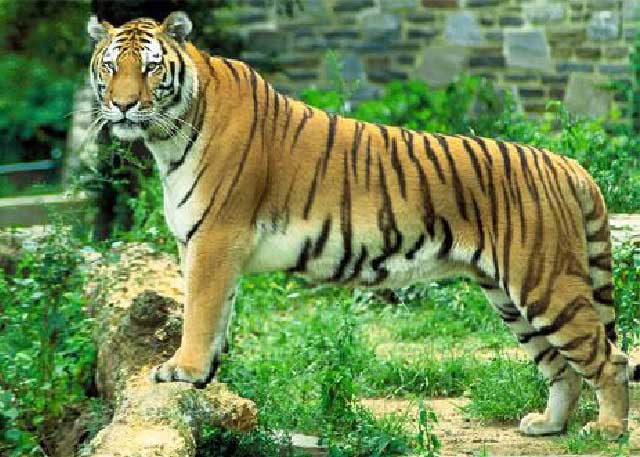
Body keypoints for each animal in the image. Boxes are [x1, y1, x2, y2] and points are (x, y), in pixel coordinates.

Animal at [87, 12, 638, 438]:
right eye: (111, 66)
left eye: (150, 67)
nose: (123, 105)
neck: (168, 136)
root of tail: (566, 163)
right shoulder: (208, 246)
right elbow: (217, 314)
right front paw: (205, 379)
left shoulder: (215, 239)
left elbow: (199, 312)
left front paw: (182, 370)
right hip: (509, 296)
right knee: (562, 368)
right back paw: (548, 425)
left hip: (546, 283)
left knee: (610, 360)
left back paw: (607, 430)